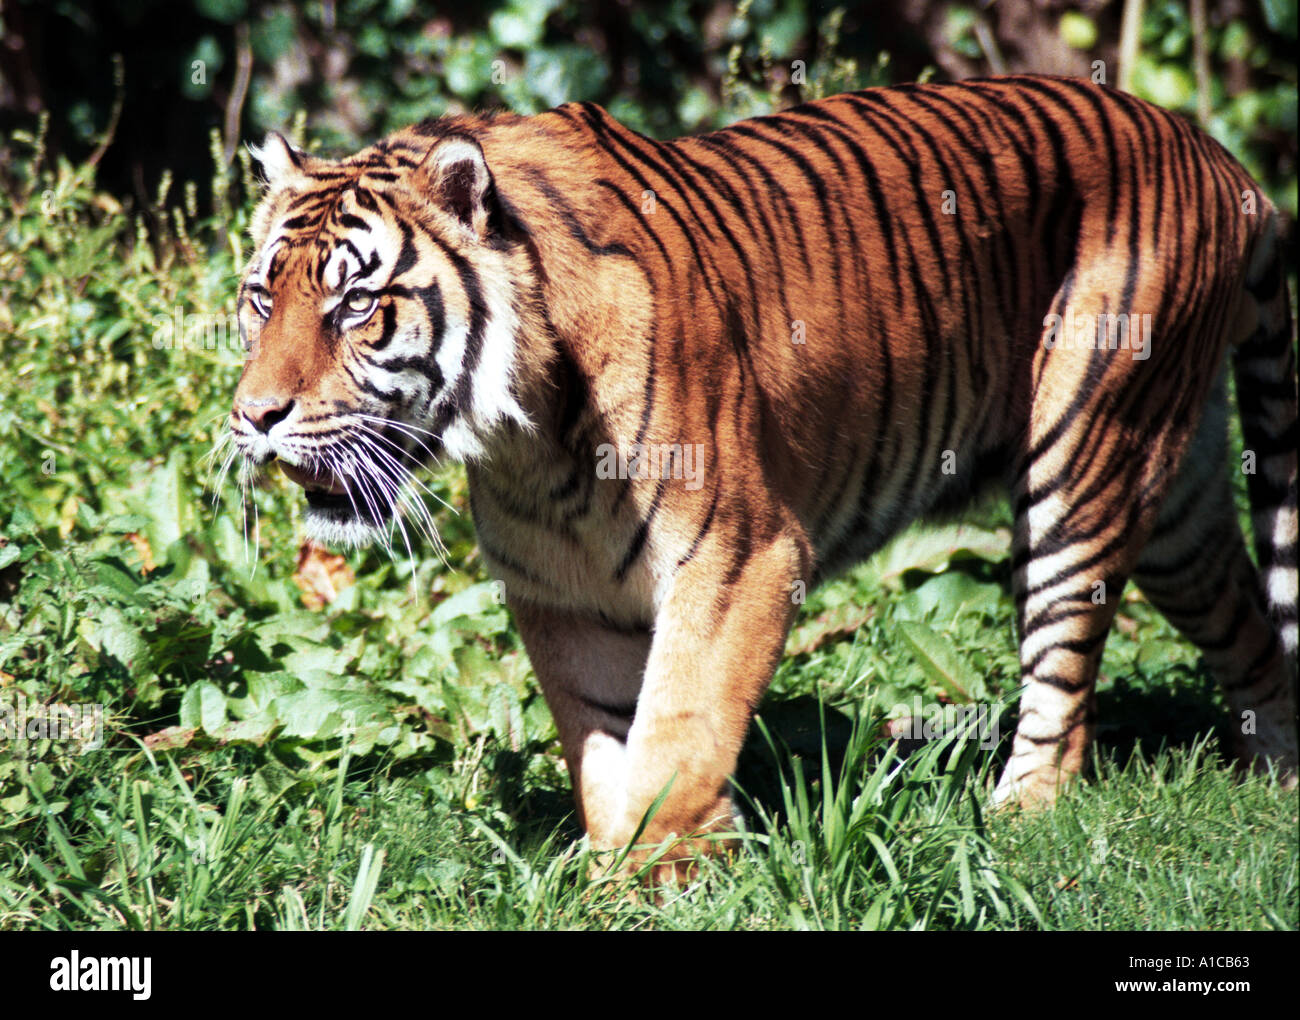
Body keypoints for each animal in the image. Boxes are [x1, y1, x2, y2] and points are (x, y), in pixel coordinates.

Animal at [229, 73, 1299, 878]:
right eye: (260, 300)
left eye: (356, 305)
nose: (254, 418)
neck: (523, 439)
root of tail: (1216, 154)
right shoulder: (562, 592)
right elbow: (604, 749)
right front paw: (637, 867)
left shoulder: (737, 557)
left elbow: (678, 730)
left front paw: (667, 873)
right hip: (1176, 499)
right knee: (1248, 625)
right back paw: (1278, 781)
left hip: (1083, 454)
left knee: (1065, 675)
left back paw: (1022, 815)